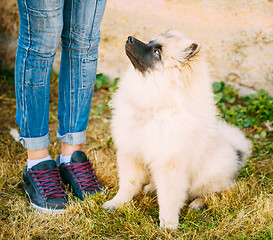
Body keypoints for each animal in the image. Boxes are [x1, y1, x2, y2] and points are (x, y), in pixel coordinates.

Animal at [102, 30, 251, 229]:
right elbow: (128, 183)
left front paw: (168, 225)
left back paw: (197, 203)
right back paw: (151, 188)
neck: (155, 106)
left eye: (157, 52)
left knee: (214, 192)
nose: (129, 38)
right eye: (150, 42)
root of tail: (236, 152)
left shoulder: (169, 165)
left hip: (207, 176)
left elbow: (169, 198)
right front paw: (117, 203)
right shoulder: (130, 153)